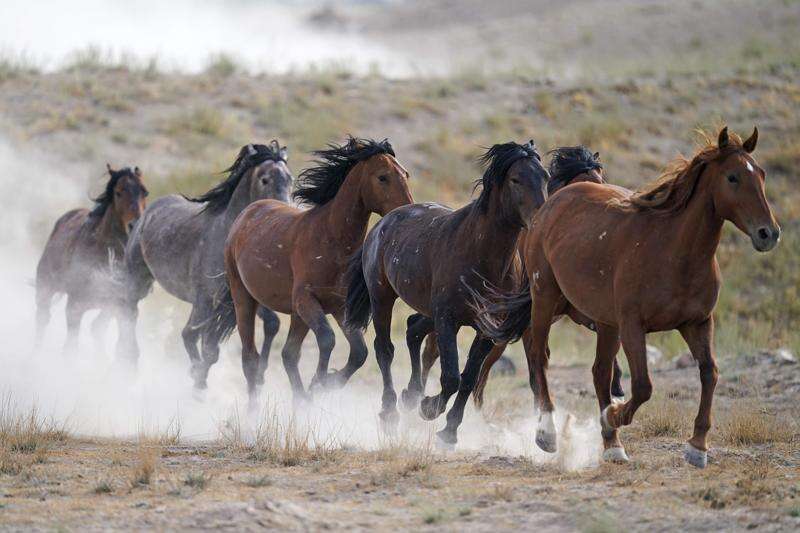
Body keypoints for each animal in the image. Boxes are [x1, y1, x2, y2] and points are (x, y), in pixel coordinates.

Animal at [34, 164, 148, 352]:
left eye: (145, 192)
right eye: (118, 192)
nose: (135, 225)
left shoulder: (122, 307)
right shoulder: (75, 306)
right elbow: (70, 348)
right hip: (45, 288)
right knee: (42, 319)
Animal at [117, 139, 292, 386]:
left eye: (290, 179)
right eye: (265, 179)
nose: (285, 213)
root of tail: (149, 210)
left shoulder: (238, 301)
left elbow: (271, 324)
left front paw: (259, 374)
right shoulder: (205, 300)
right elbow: (193, 338)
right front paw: (197, 378)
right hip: (136, 279)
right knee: (129, 314)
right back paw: (128, 359)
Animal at [217, 137, 412, 404]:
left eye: (406, 174)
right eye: (383, 177)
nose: (408, 210)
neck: (330, 238)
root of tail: (248, 212)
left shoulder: (339, 307)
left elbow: (359, 352)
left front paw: (323, 384)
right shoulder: (306, 300)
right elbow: (327, 339)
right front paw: (318, 382)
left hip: (297, 315)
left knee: (288, 354)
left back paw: (300, 400)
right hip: (244, 297)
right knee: (250, 358)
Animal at [472, 125, 780, 466]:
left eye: (761, 174)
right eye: (733, 177)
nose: (768, 233)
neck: (674, 251)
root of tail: (549, 207)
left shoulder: (697, 323)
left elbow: (709, 373)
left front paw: (697, 446)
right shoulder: (633, 325)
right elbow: (644, 386)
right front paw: (614, 416)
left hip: (605, 323)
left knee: (598, 371)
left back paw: (612, 445)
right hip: (545, 299)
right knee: (539, 358)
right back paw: (548, 434)